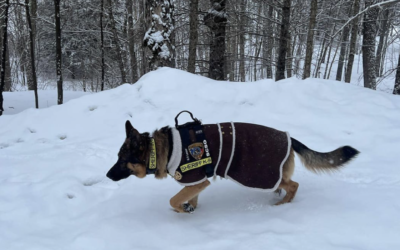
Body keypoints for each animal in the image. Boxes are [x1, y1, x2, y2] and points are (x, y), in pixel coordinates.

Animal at [107, 120, 360, 213]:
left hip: (258, 174)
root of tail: (290, 138)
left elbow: (173, 200)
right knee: (286, 183)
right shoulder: (197, 182)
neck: (161, 149)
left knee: (294, 185)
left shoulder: (196, 181)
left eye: (121, 160)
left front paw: (181, 210)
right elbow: (189, 198)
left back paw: (282, 205)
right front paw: (190, 209)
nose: (107, 175)